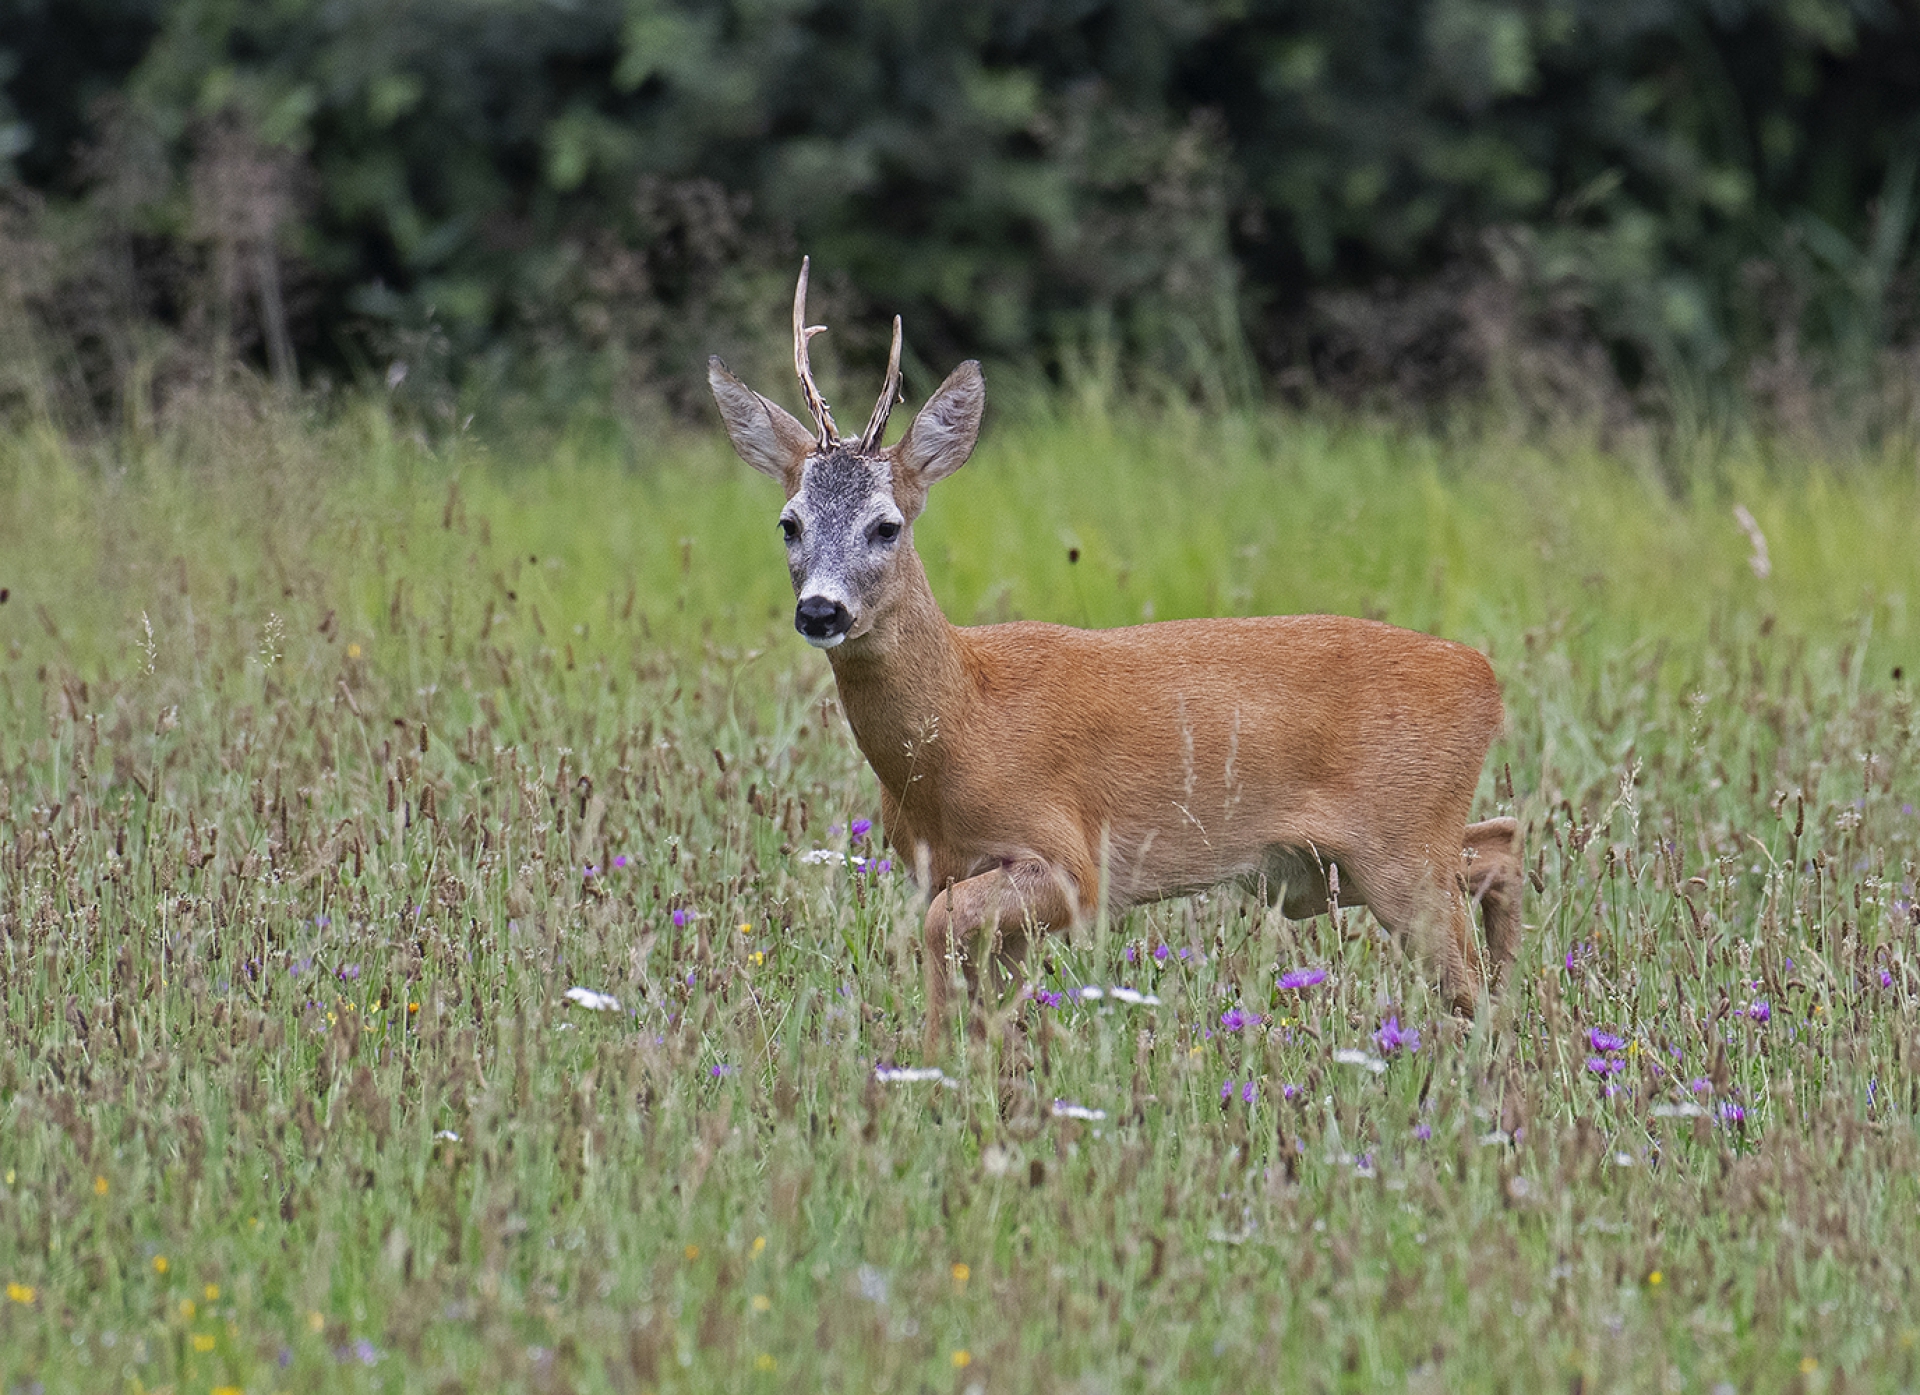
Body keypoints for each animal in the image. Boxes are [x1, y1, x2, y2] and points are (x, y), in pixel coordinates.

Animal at [714, 260, 1520, 1043]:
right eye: (789, 523)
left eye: (885, 526)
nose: (821, 609)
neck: (963, 721)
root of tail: (1485, 677)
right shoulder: (944, 869)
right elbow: (986, 990)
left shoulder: (1071, 860)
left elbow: (944, 932)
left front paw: (934, 1065)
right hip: (1348, 861)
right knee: (1499, 845)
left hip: (1400, 848)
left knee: (1466, 965)